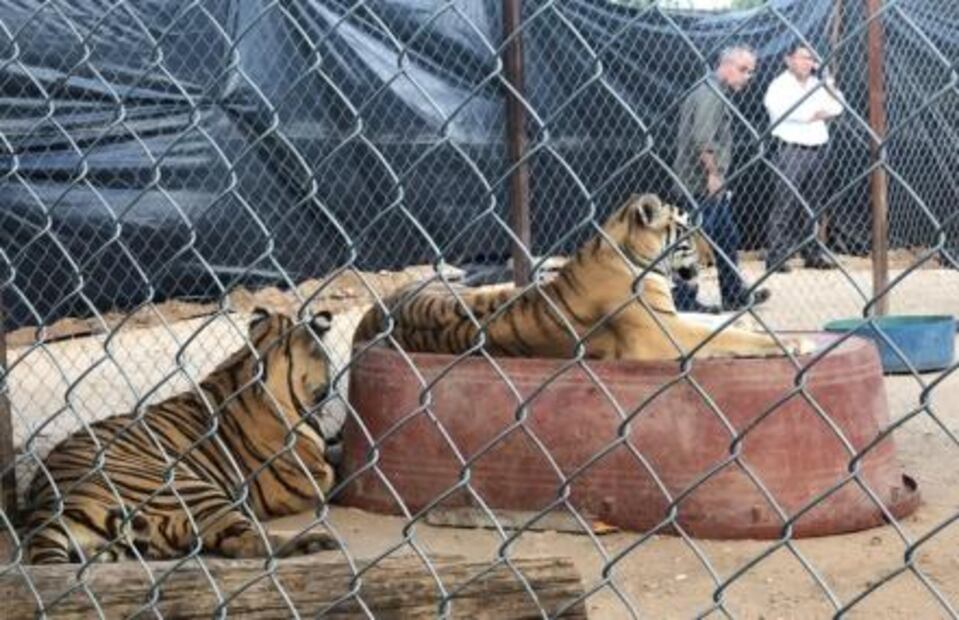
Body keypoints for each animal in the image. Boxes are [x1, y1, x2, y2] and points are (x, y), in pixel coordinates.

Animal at [23, 309, 340, 564]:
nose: (332, 384)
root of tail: (48, 507)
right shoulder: (305, 479)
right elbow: (333, 473)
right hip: (190, 488)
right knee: (244, 541)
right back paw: (316, 541)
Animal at [353, 193, 814, 360]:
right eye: (686, 233)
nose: (710, 259)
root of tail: (373, 312)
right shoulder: (661, 333)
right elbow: (723, 336)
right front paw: (790, 342)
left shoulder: (672, 316)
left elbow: (715, 321)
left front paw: (750, 321)